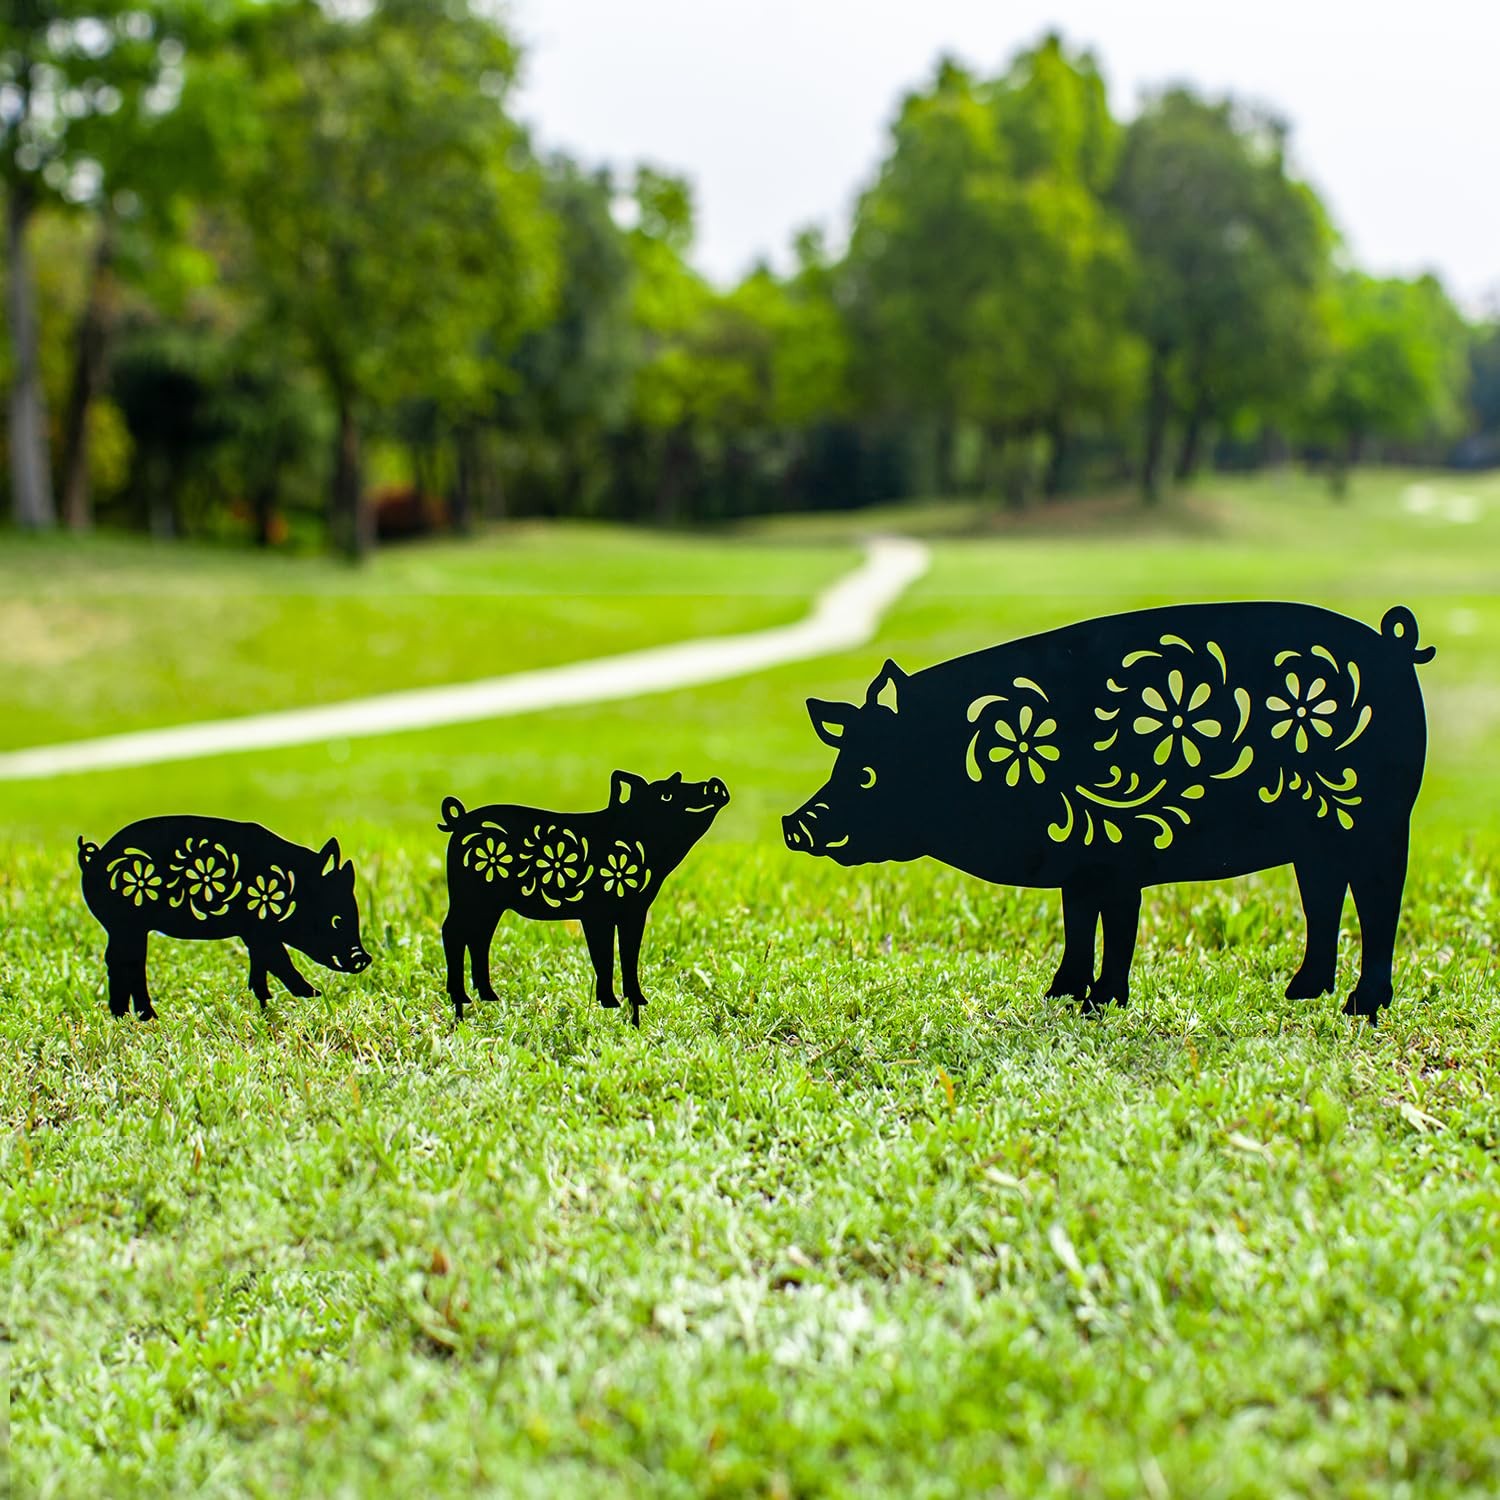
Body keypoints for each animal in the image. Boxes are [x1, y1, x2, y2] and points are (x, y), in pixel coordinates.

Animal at [77, 816, 371, 1019]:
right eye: (337, 919)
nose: (363, 958)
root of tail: (92, 858)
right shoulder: (258, 929)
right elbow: (279, 960)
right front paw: (314, 994)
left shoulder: (255, 934)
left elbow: (261, 964)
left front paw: (264, 1002)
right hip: (125, 925)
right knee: (124, 963)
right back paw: (139, 1017)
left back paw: (132, 1016)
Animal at [439, 770, 730, 1026]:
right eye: (666, 794)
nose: (714, 783)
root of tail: (459, 821)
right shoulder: (596, 912)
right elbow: (604, 955)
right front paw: (611, 1003)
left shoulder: (635, 910)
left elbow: (629, 954)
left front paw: (637, 1004)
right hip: (468, 895)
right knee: (451, 930)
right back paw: (461, 999)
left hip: (489, 905)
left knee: (479, 937)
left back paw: (488, 996)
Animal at [785, 603, 1434, 1021]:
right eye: (839, 764)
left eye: (867, 774)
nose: (796, 822)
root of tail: (1394, 644)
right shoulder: (1082, 862)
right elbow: (1077, 922)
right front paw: (1060, 995)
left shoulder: (1123, 853)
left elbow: (1118, 927)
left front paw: (1101, 1004)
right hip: (1318, 840)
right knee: (1323, 898)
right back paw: (1302, 993)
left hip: (1382, 821)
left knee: (1379, 903)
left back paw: (1361, 1009)